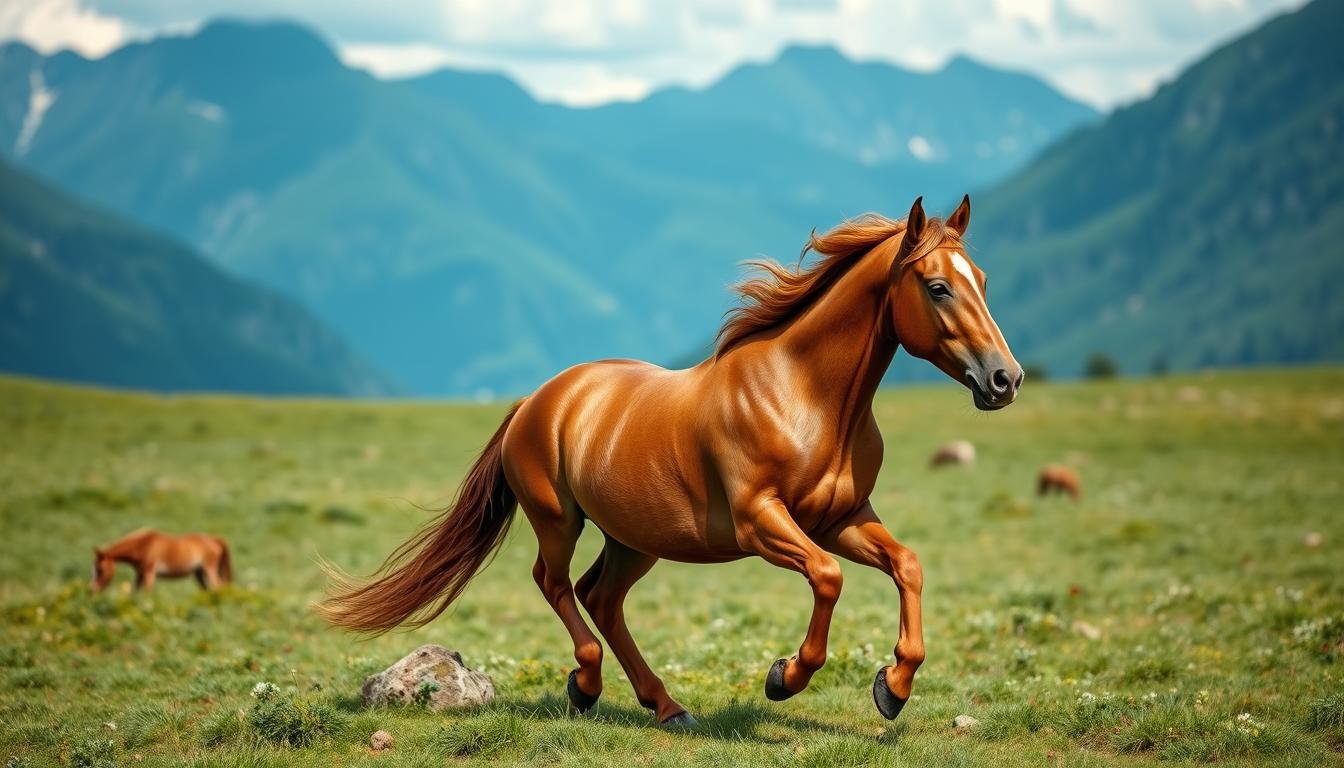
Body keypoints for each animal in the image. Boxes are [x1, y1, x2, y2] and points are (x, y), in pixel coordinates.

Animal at [91, 529, 232, 592]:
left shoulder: (150, 573)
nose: (92, 590)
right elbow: (134, 592)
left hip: (210, 570)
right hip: (199, 573)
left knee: (219, 587)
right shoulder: (140, 574)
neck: (143, 545)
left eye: (100, 569)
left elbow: (148, 593)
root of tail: (214, 540)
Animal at [320, 195, 1022, 728]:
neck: (805, 397)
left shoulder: (841, 519)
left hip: (636, 538)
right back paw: (587, 685)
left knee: (600, 597)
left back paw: (666, 706)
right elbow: (827, 578)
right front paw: (784, 677)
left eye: (985, 282)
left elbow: (907, 566)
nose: (1004, 379)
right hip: (558, 518)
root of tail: (539, 399)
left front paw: (892, 688)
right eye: (937, 287)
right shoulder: (762, 522)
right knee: (555, 584)